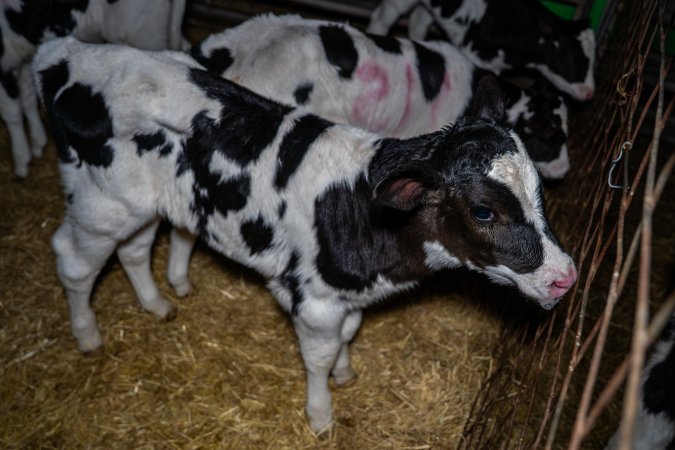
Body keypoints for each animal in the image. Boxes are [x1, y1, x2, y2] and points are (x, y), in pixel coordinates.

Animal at [0, 0, 187, 178]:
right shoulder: (21, 57)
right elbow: (28, 97)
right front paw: (37, 142)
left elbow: (12, 112)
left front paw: (21, 161)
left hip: (143, 32)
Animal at [34, 37, 577, 433]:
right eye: (484, 212)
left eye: (538, 191)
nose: (565, 277)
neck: (365, 214)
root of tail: (67, 53)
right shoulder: (313, 299)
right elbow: (318, 356)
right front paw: (321, 414)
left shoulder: (347, 294)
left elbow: (349, 335)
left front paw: (345, 371)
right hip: (100, 205)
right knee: (73, 262)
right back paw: (87, 335)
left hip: (142, 206)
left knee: (135, 247)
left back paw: (156, 303)